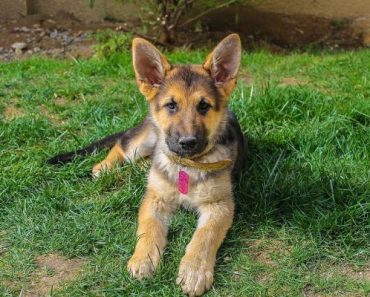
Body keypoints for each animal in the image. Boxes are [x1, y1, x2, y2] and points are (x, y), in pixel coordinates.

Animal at [48, 34, 246, 294]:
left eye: (203, 105)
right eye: (171, 105)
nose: (187, 143)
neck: (185, 165)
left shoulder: (219, 205)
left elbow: (205, 236)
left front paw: (194, 270)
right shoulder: (154, 199)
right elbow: (149, 229)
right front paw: (143, 258)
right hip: (144, 141)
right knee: (121, 144)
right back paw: (104, 167)